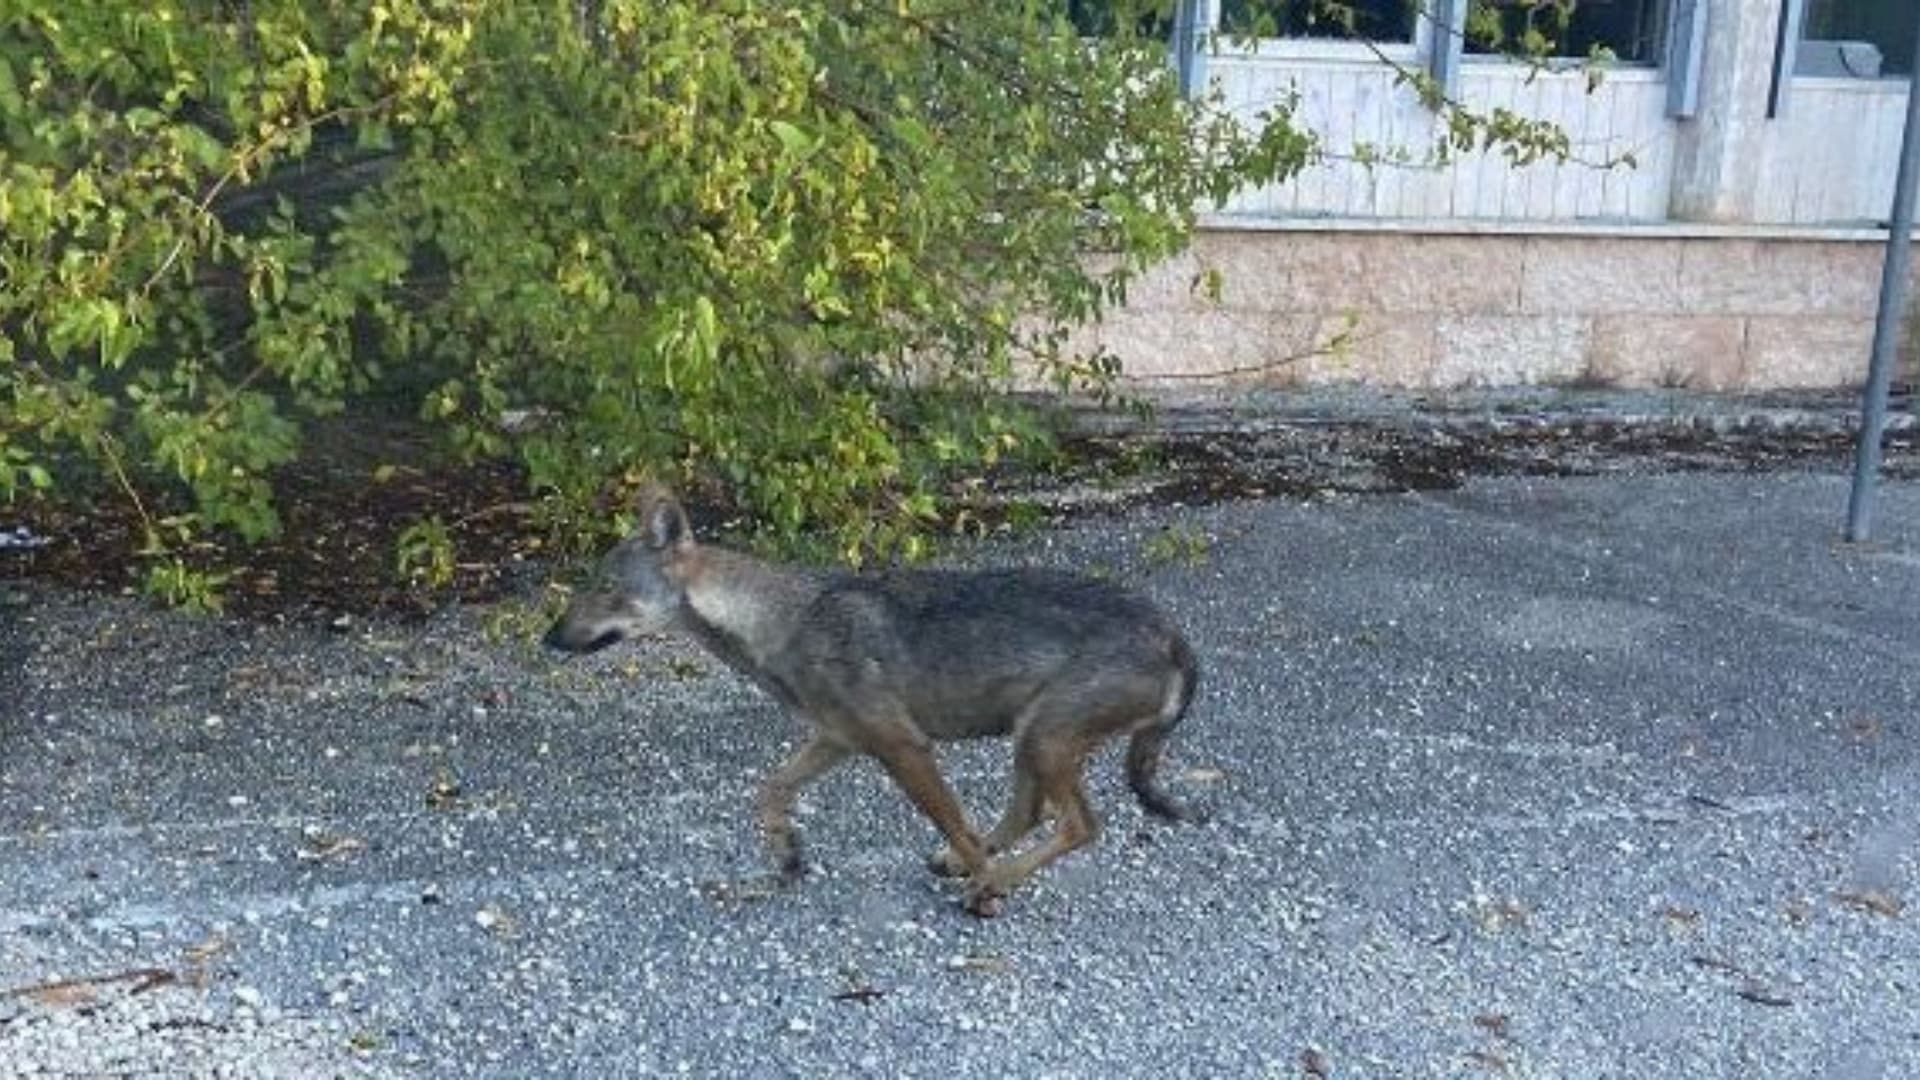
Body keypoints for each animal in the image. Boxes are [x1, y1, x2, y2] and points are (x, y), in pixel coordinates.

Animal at [543, 486, 1203, 916]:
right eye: (588, 587)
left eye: (605, 590)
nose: (549, 639)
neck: (780, 620)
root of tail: (1173, 634)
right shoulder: (837, 739)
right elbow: (770, 791)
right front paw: (786, 854)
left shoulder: (903, 747)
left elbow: (958, 826)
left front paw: (987, 886)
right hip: (1031, 740)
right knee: (1031, 815)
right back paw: (968, 869)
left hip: (1043, 741)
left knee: (1078, 825)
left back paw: (990, 882)